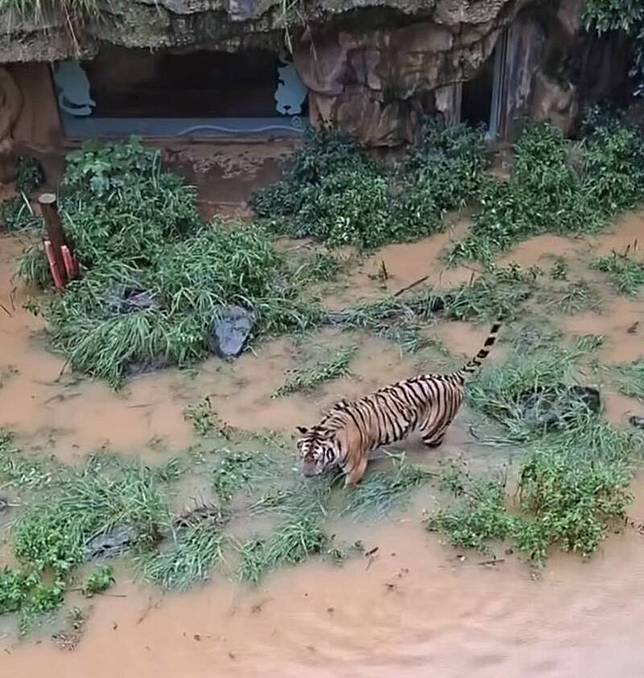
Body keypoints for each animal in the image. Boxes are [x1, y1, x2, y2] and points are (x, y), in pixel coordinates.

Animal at [296, 319, 501, 486]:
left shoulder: (356, 468)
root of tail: (449, 377)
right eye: (303, 456)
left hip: (432, 431)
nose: (307, 474)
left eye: (316, 458)